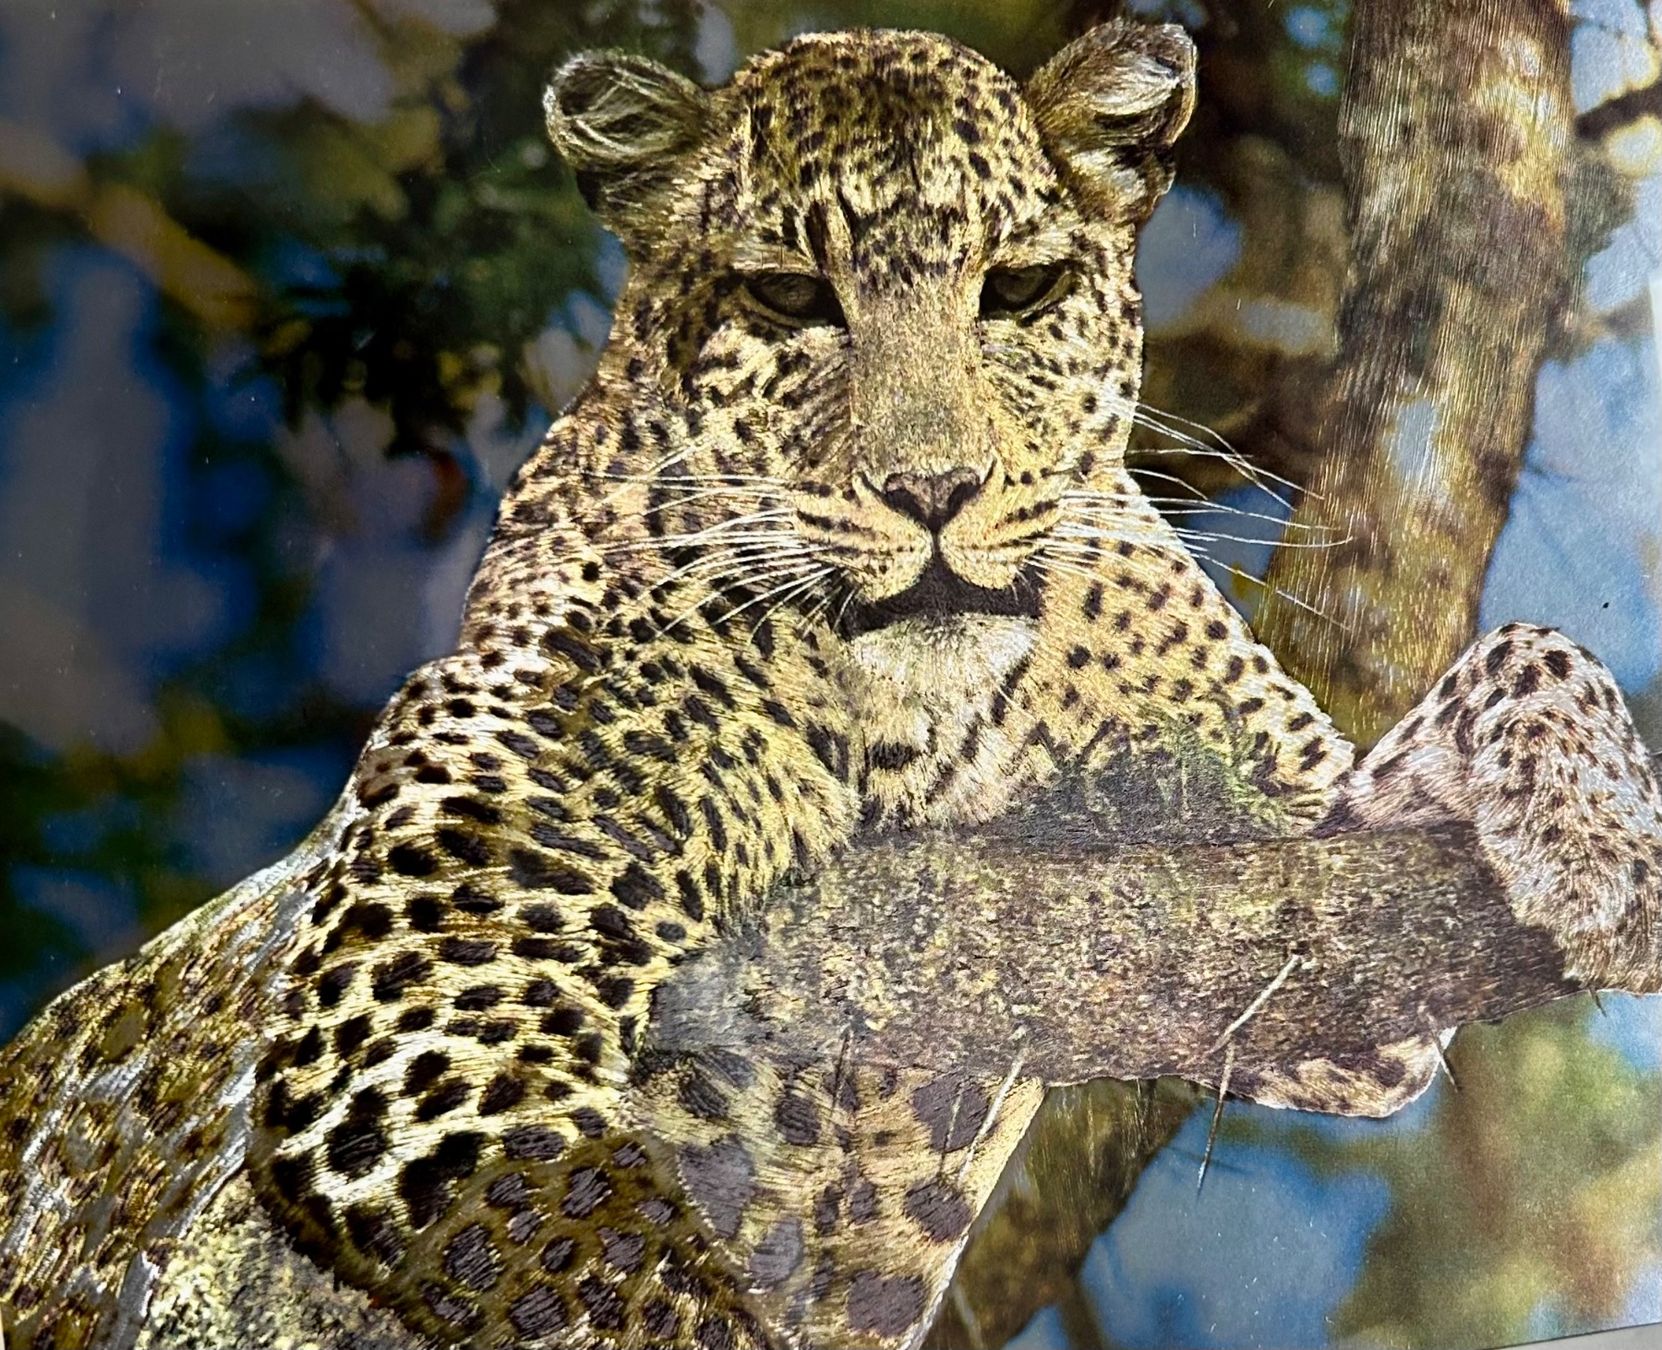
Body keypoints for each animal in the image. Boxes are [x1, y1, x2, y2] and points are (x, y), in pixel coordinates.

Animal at [2, 18, 1659, 1350]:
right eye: (791, 299)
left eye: (1020, 286)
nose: (932, 488)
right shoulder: (417, 1024)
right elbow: (627, 1287)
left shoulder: (1297, 908)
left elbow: (1513, 674)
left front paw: (1603, 841)